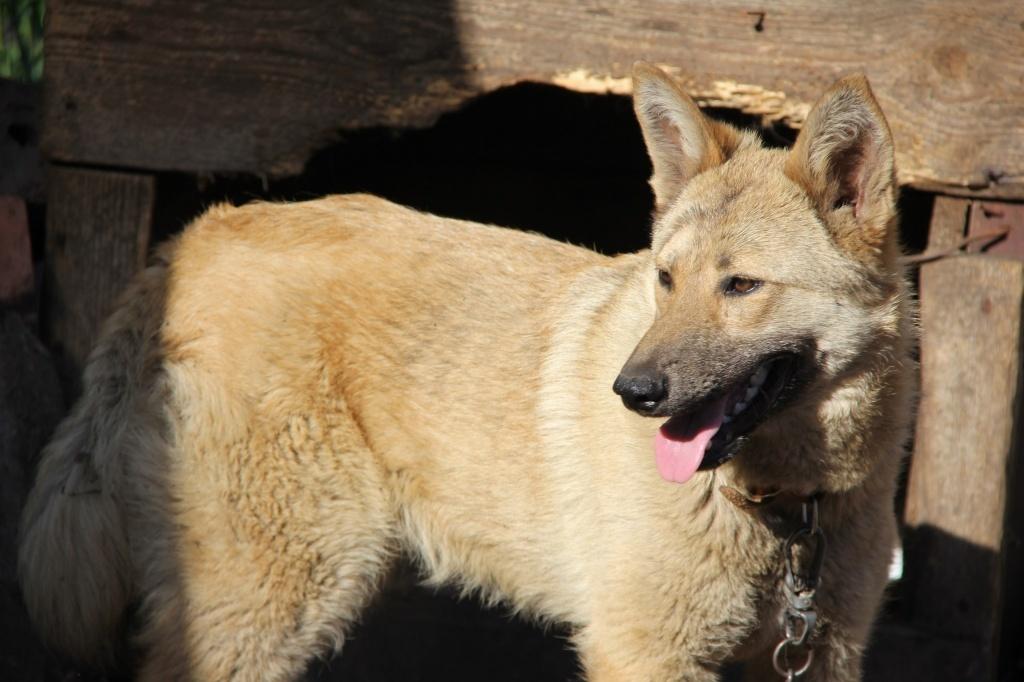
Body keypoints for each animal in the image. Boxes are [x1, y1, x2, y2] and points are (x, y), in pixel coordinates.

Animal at [19, 63, 914, 681]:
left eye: (742, 286)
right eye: (666, 278)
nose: (632, 393)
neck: (785, 510)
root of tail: (193, 238)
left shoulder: (820, 653)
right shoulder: (646, 653)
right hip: (277, 601)